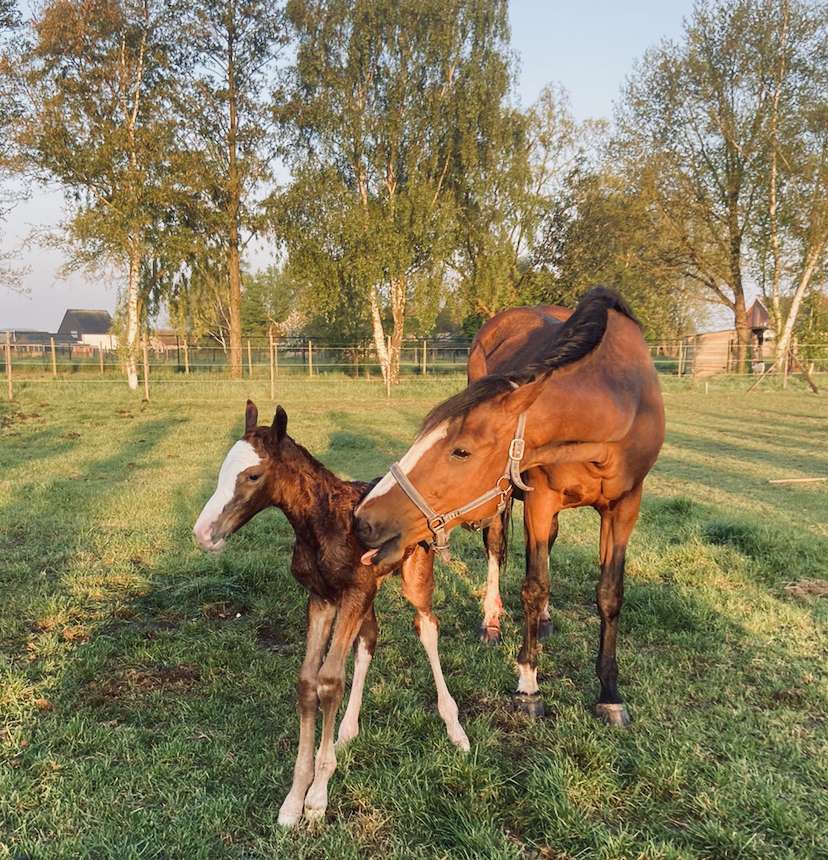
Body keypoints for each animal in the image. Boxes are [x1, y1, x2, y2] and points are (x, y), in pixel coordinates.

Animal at [191, 402, 468, 828]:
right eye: (223, 469)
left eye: (253, 475)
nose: (203, 533)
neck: (322, 525)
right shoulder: (322, 598)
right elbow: (309, 681)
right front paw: (293, 799)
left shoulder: (351, 594)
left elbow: (330, 680)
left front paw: (317, 797)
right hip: (367, 595)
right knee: (369, 639)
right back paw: (348, 730)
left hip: (414, 578)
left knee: (427, 628)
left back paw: (455, 729)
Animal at [356, 288, 668, 724]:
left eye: (461, 451)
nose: (364, 519)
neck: (617, 397)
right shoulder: (539, 498)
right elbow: (533, 586)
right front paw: (529, 686)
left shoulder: (625, 506)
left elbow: (609, 594)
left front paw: (610, 693)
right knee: (496, 547)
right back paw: (491, 621)